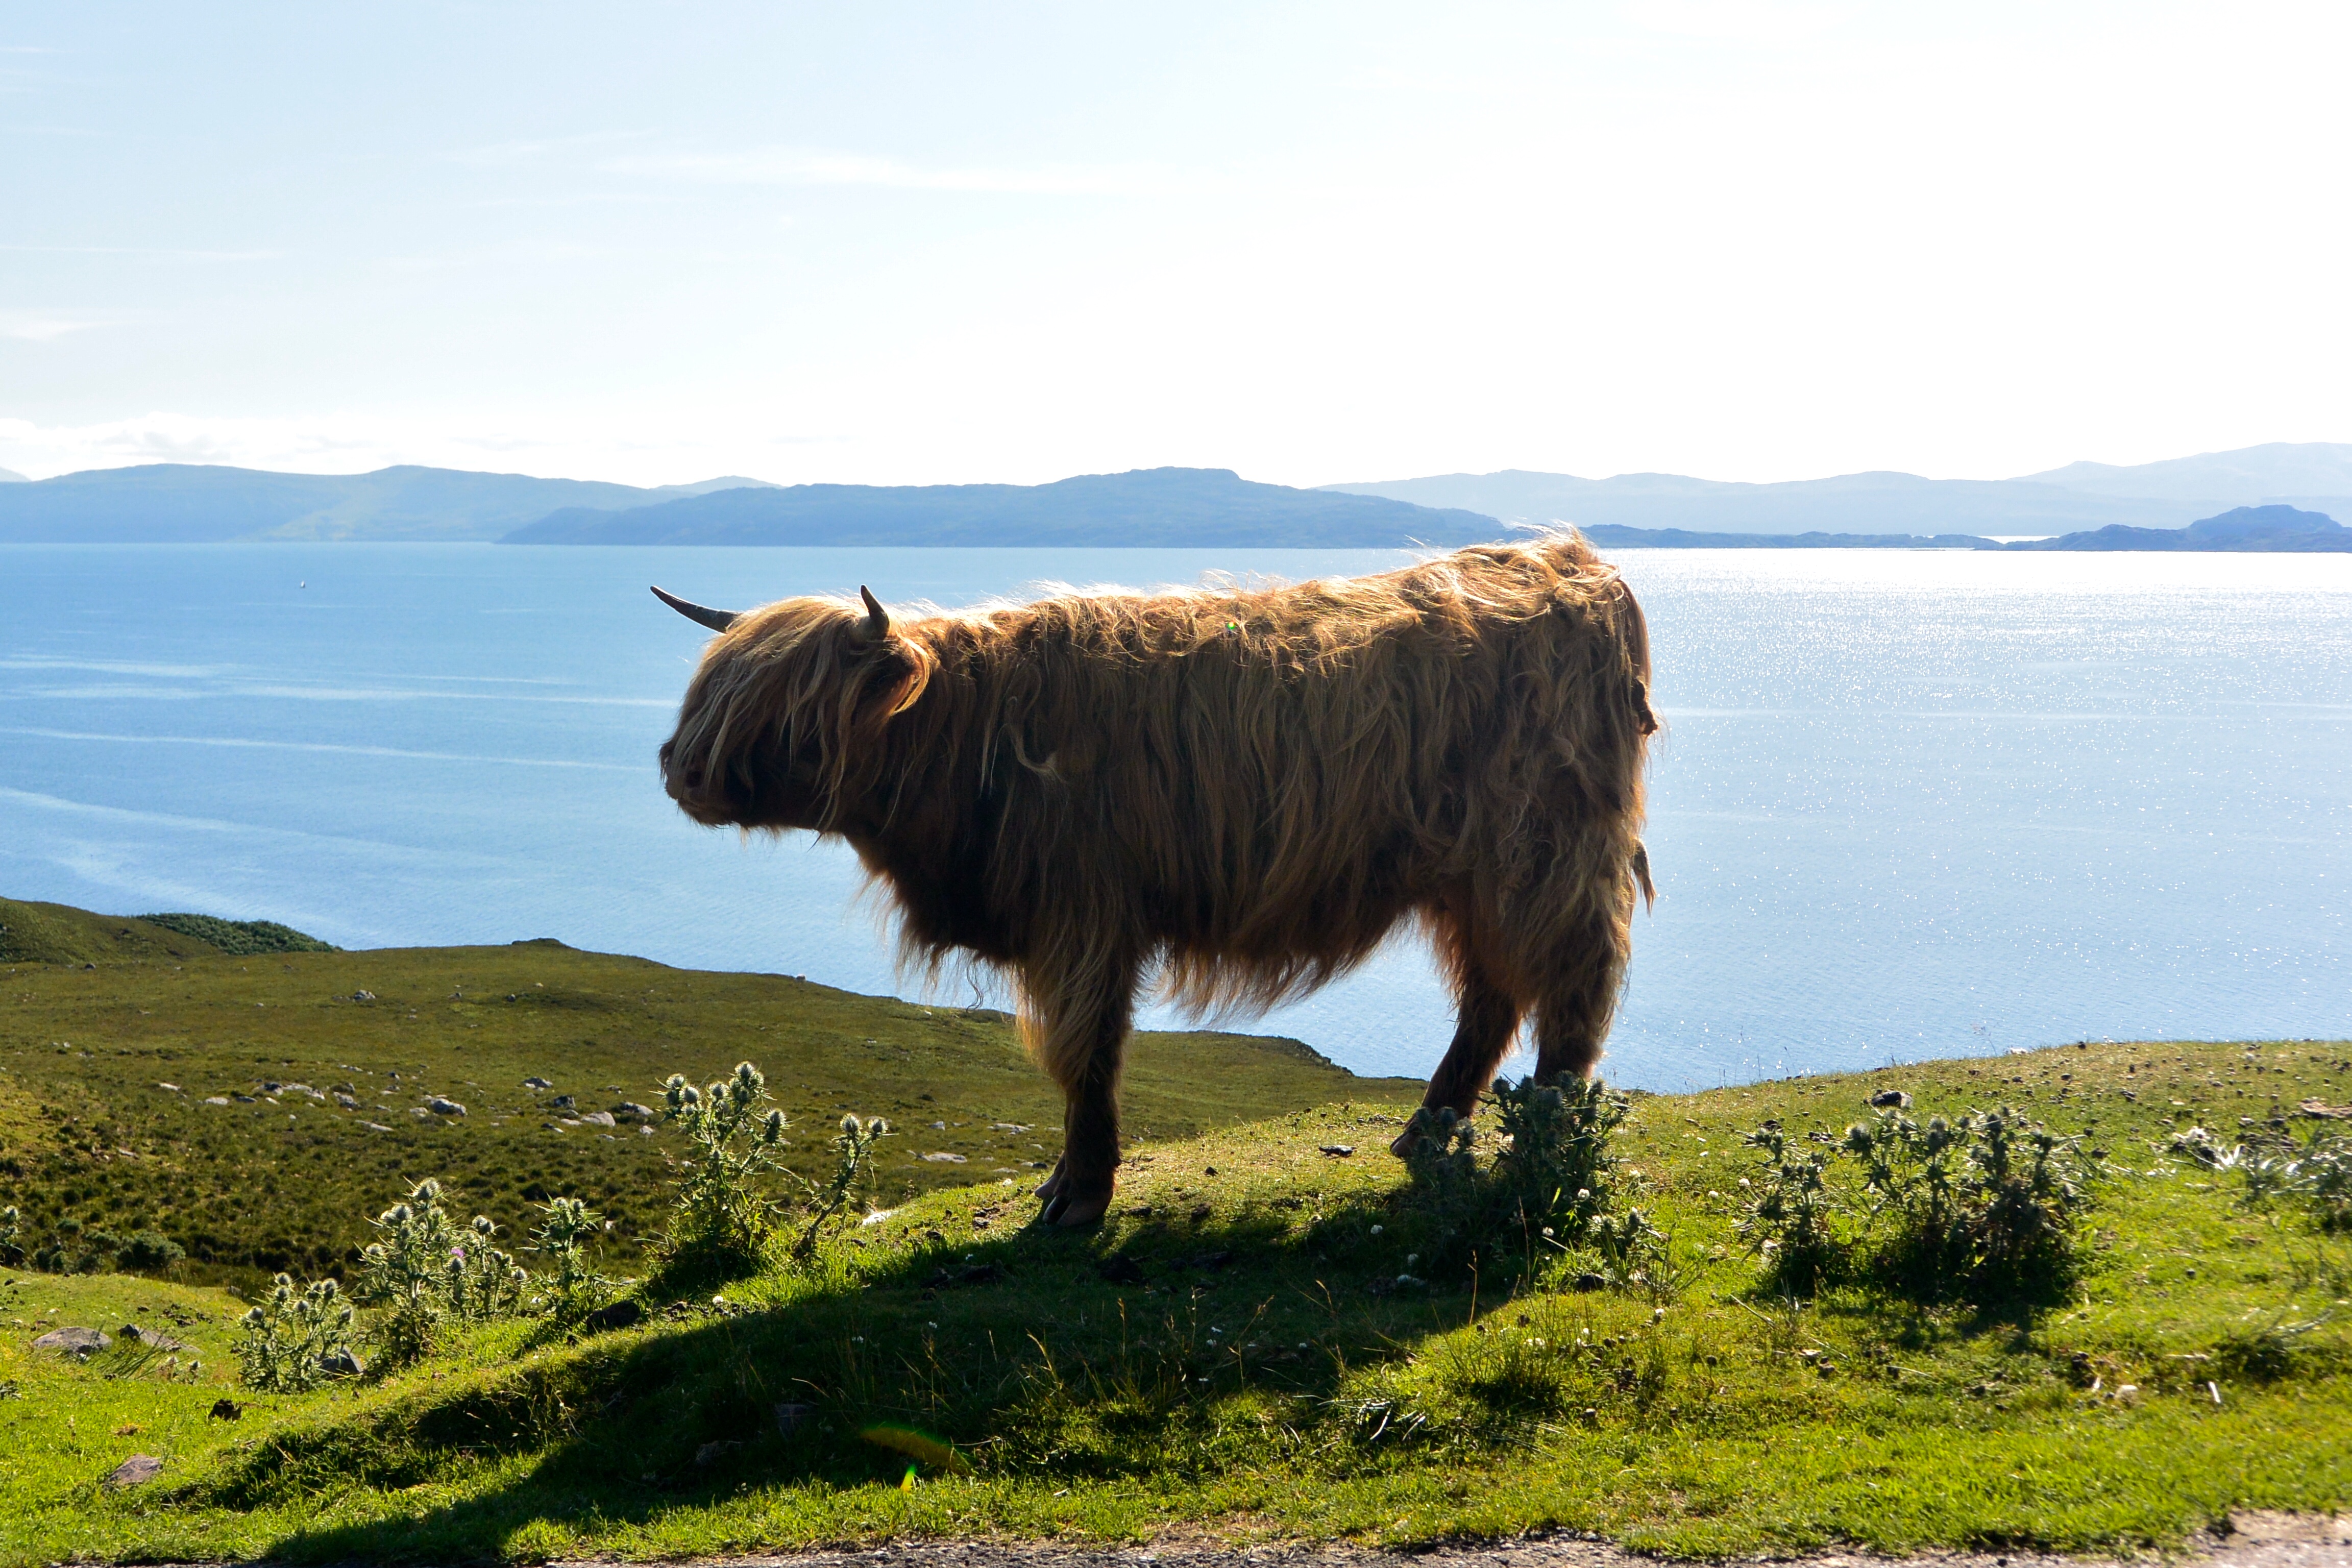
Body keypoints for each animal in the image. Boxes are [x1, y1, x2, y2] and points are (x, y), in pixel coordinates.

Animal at [654, 534, 1657, 1226]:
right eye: (707, 690)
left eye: (788, 704)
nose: (679, 770)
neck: (966, 739)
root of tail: (1573, 562)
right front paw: (1067, 1184)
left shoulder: (1084, 919)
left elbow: (1085, 1054)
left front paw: (1079, 1194)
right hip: (1473, 877)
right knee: (1492, 991)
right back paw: (1428, 1127)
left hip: (1542, 855)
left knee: (1573, 980)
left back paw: (1549, 1135)